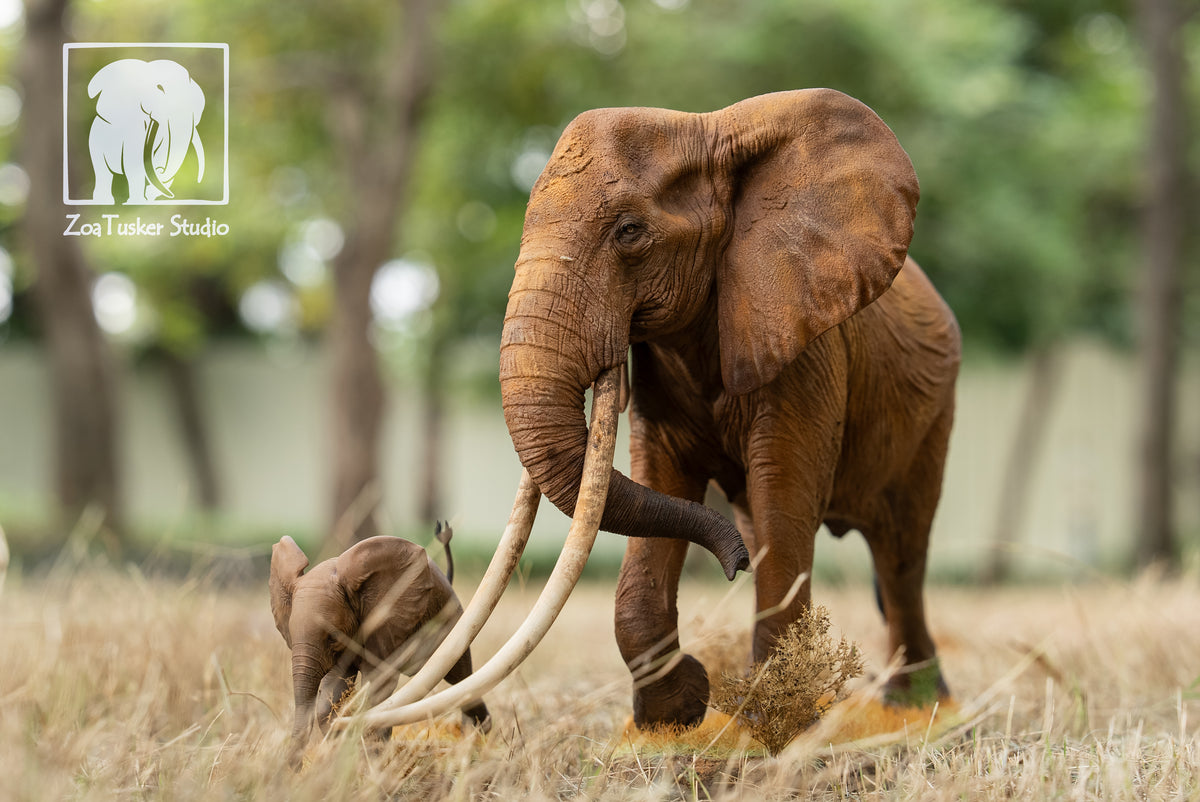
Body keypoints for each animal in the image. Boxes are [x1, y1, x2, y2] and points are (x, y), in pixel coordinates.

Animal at [269, 532, 490, 752]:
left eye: (333, 638)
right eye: (290, 637)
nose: (293, 763)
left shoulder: (383, 625)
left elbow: (380, 682)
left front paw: (372, 749)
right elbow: (333, 689)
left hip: (453, 621)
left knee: (459, 676)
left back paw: (478, 731)